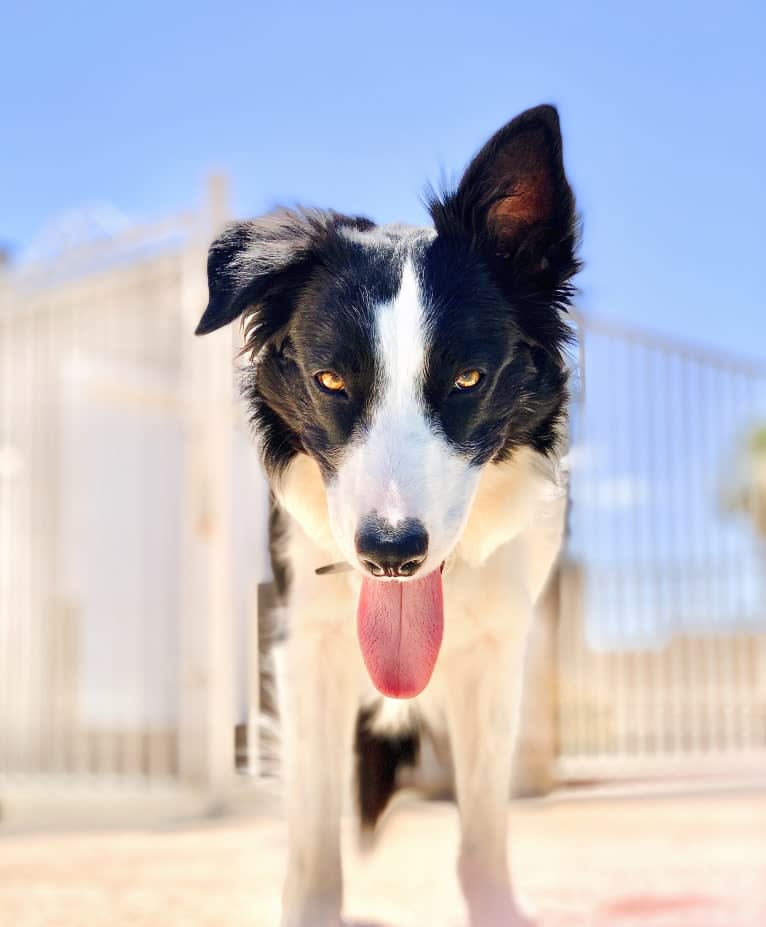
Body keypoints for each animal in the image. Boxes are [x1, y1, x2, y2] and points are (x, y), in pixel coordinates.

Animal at [195, 103, 580, 927]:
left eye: (468, 378)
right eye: (330, 380)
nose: (392, 553)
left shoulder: (495, 649)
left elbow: (485, 823)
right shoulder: (306, 645)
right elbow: (313, 834)